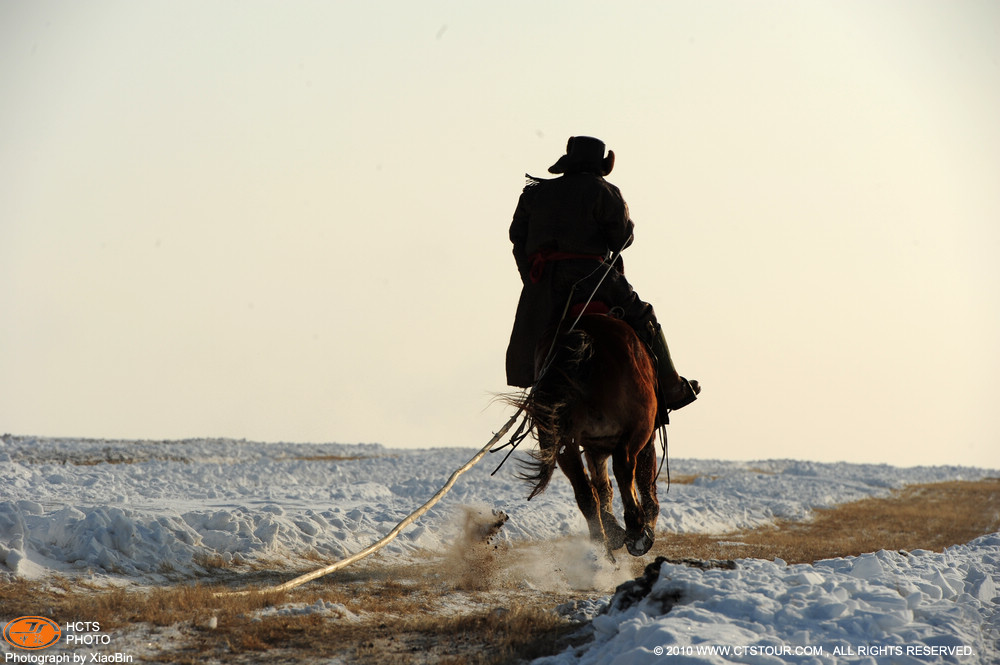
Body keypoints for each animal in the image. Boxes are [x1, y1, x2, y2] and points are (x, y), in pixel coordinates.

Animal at [512, 312, 660, 556]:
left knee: (584, 490)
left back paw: (601, 545)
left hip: (563, 440)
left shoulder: (594, 444)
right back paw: (636, 532)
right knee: (624, 467)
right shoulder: (643, 434)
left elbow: (601, 483)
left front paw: (612, 529)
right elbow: (643, 479)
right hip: (637, 427)